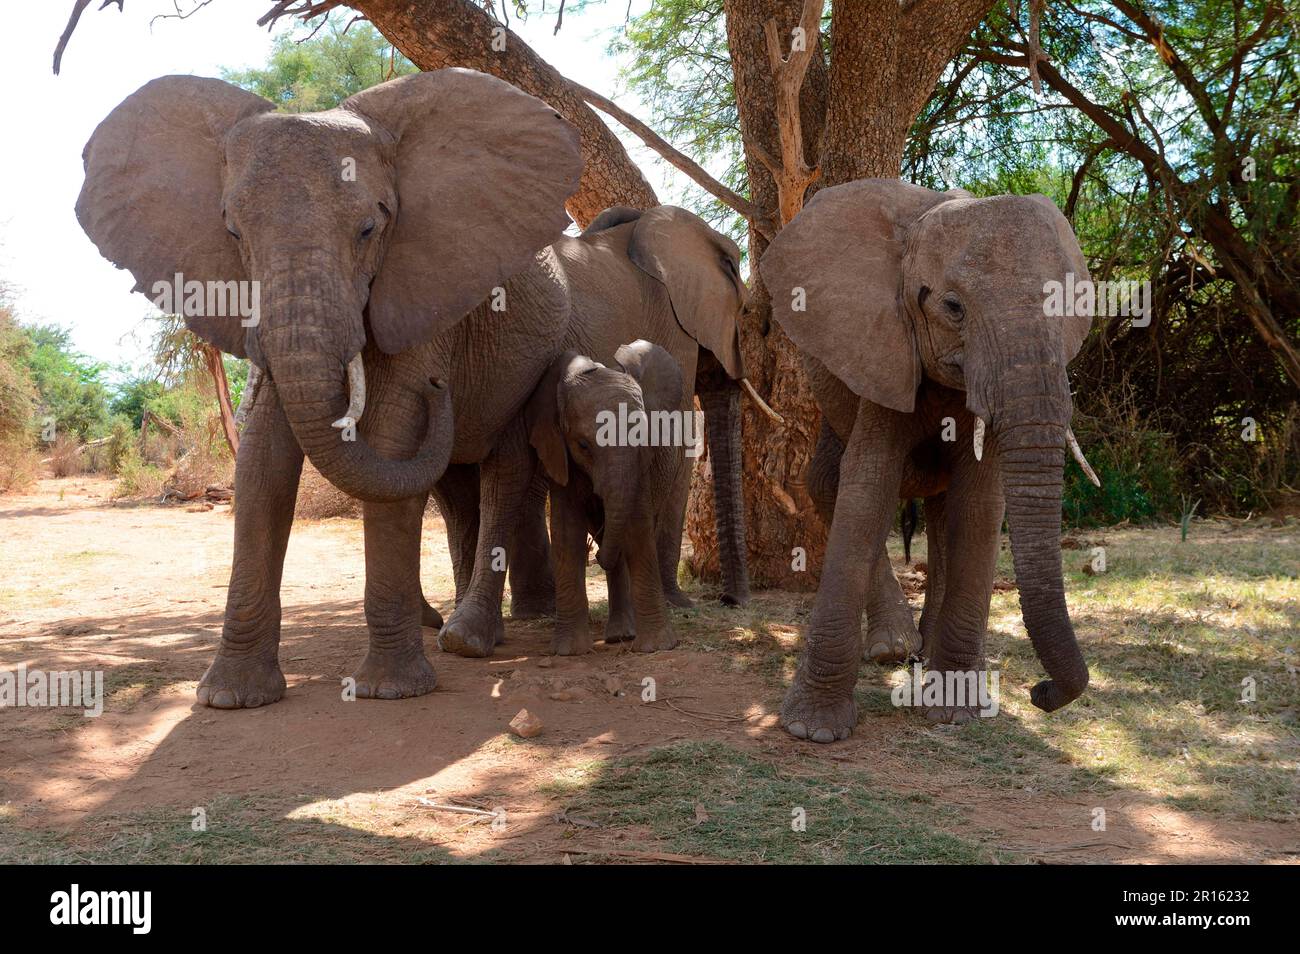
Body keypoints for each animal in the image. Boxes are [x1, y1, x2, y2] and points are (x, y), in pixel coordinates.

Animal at [76, 69, 584, 707]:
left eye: (370, 228)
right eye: (233, 231)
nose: (441, 387)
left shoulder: (423, 281)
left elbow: (392, 435)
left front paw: (388, 691)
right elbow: (262, 459)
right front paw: (230, 698)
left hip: (530, 364)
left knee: (503, 475)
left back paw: (468, 640)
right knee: (449, 487)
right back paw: (438, 624)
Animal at [524, 340, 688, 655]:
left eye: (642, 439)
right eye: (583, 445)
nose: (597, 559)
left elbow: (637, 528)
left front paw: (657, 647)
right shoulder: (561, 456)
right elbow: (566, 532)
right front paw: (569, 651)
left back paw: (626, 632)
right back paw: (620, 633)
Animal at [759, 178, 1097, 741]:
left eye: (1073, 308)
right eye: (954, 307)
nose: (1041, 692)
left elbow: (981, 505)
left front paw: (954, 713)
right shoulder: (883, 346)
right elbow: (867, 488)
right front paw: (813, 731)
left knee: (943, 509)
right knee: (828, 482)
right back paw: (895, 649)